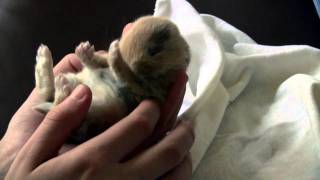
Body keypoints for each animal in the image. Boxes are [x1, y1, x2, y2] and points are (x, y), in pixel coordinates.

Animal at [34, 16, 190, 143]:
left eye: (154, 50)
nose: (134, 64)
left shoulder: (148, 90)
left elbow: (126, 74)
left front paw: (114, 53)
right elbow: (100, 62)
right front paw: (85, 50)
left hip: (96, 108)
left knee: (56, 102)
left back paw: (60, 83)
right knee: (49, 94)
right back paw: (44, 56)